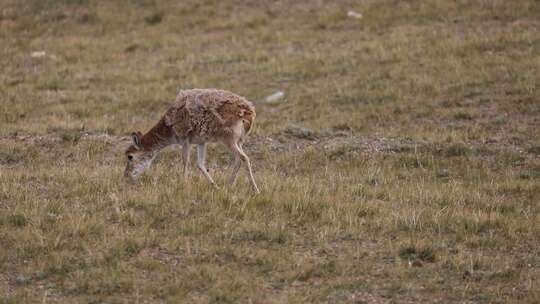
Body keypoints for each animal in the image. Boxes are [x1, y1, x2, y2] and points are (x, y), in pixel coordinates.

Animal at [126, 88, 262, 192]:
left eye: (130, 156)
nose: (126, 176)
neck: (168, 126)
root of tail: (249, 111)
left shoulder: (185, 140)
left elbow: (185, 161)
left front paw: (183, 183)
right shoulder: (201, 142)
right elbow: (200, 164)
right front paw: (215, 186)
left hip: (229, 140)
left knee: (244, 158)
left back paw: (255, 189)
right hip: (239, 141)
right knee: (239, 159)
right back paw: (228, 185)